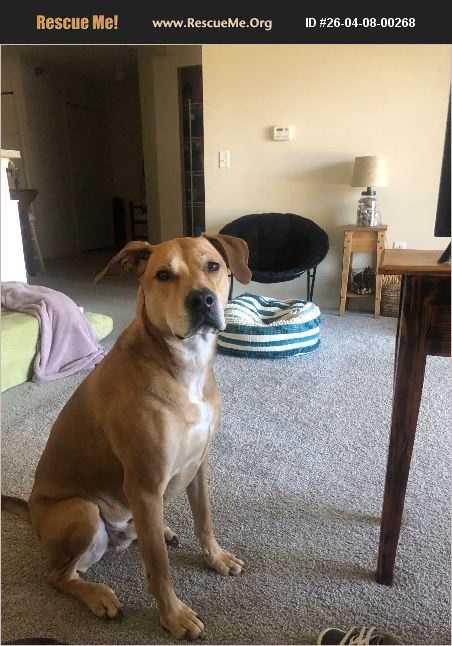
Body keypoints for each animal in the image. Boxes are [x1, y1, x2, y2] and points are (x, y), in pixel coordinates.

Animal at [12, 233, 251, 640]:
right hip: (83, 511)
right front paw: (174, 616)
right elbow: (159, 568)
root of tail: (32, 514)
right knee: (59, 576)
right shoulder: (145, 484)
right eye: (164, 275)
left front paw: (216, 558)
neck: (183, 363)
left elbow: (204, 519)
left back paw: (161, 531)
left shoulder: (198, 464)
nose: (202, 300)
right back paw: (98, 596)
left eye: (213, 266)